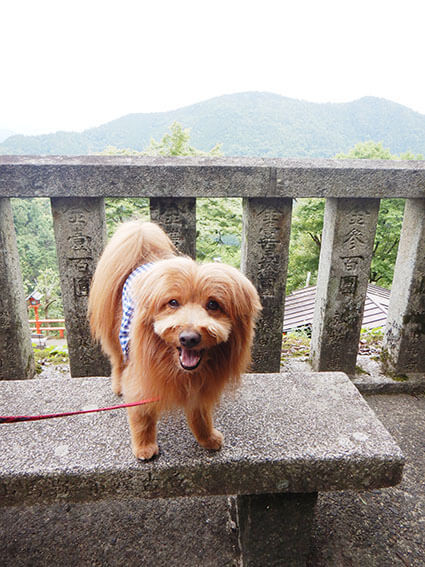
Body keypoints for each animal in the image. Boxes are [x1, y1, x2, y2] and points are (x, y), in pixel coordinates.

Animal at [88, 222, 260, 462]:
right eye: (173, 302)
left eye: (213, 304)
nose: (188, 337)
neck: (181, 372)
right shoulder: (141, 381)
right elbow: (142, 416)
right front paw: (144, 446)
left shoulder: (200, 389)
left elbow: (201, 416)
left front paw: (207, 438)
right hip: (117, 338)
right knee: (118, 362)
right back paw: (118, 385)